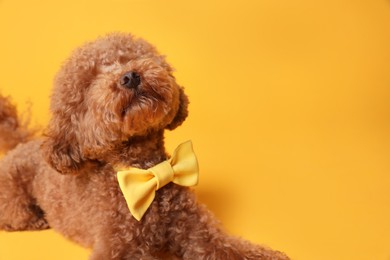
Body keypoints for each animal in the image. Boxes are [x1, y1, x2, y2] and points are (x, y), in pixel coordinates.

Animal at [0, 33, 288, 258]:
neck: (145, 172)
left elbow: (230, 247)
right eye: (90, 82)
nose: (129, 76)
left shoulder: (198, 231)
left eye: (128, 58)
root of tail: (22, 144)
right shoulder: (119, 246)